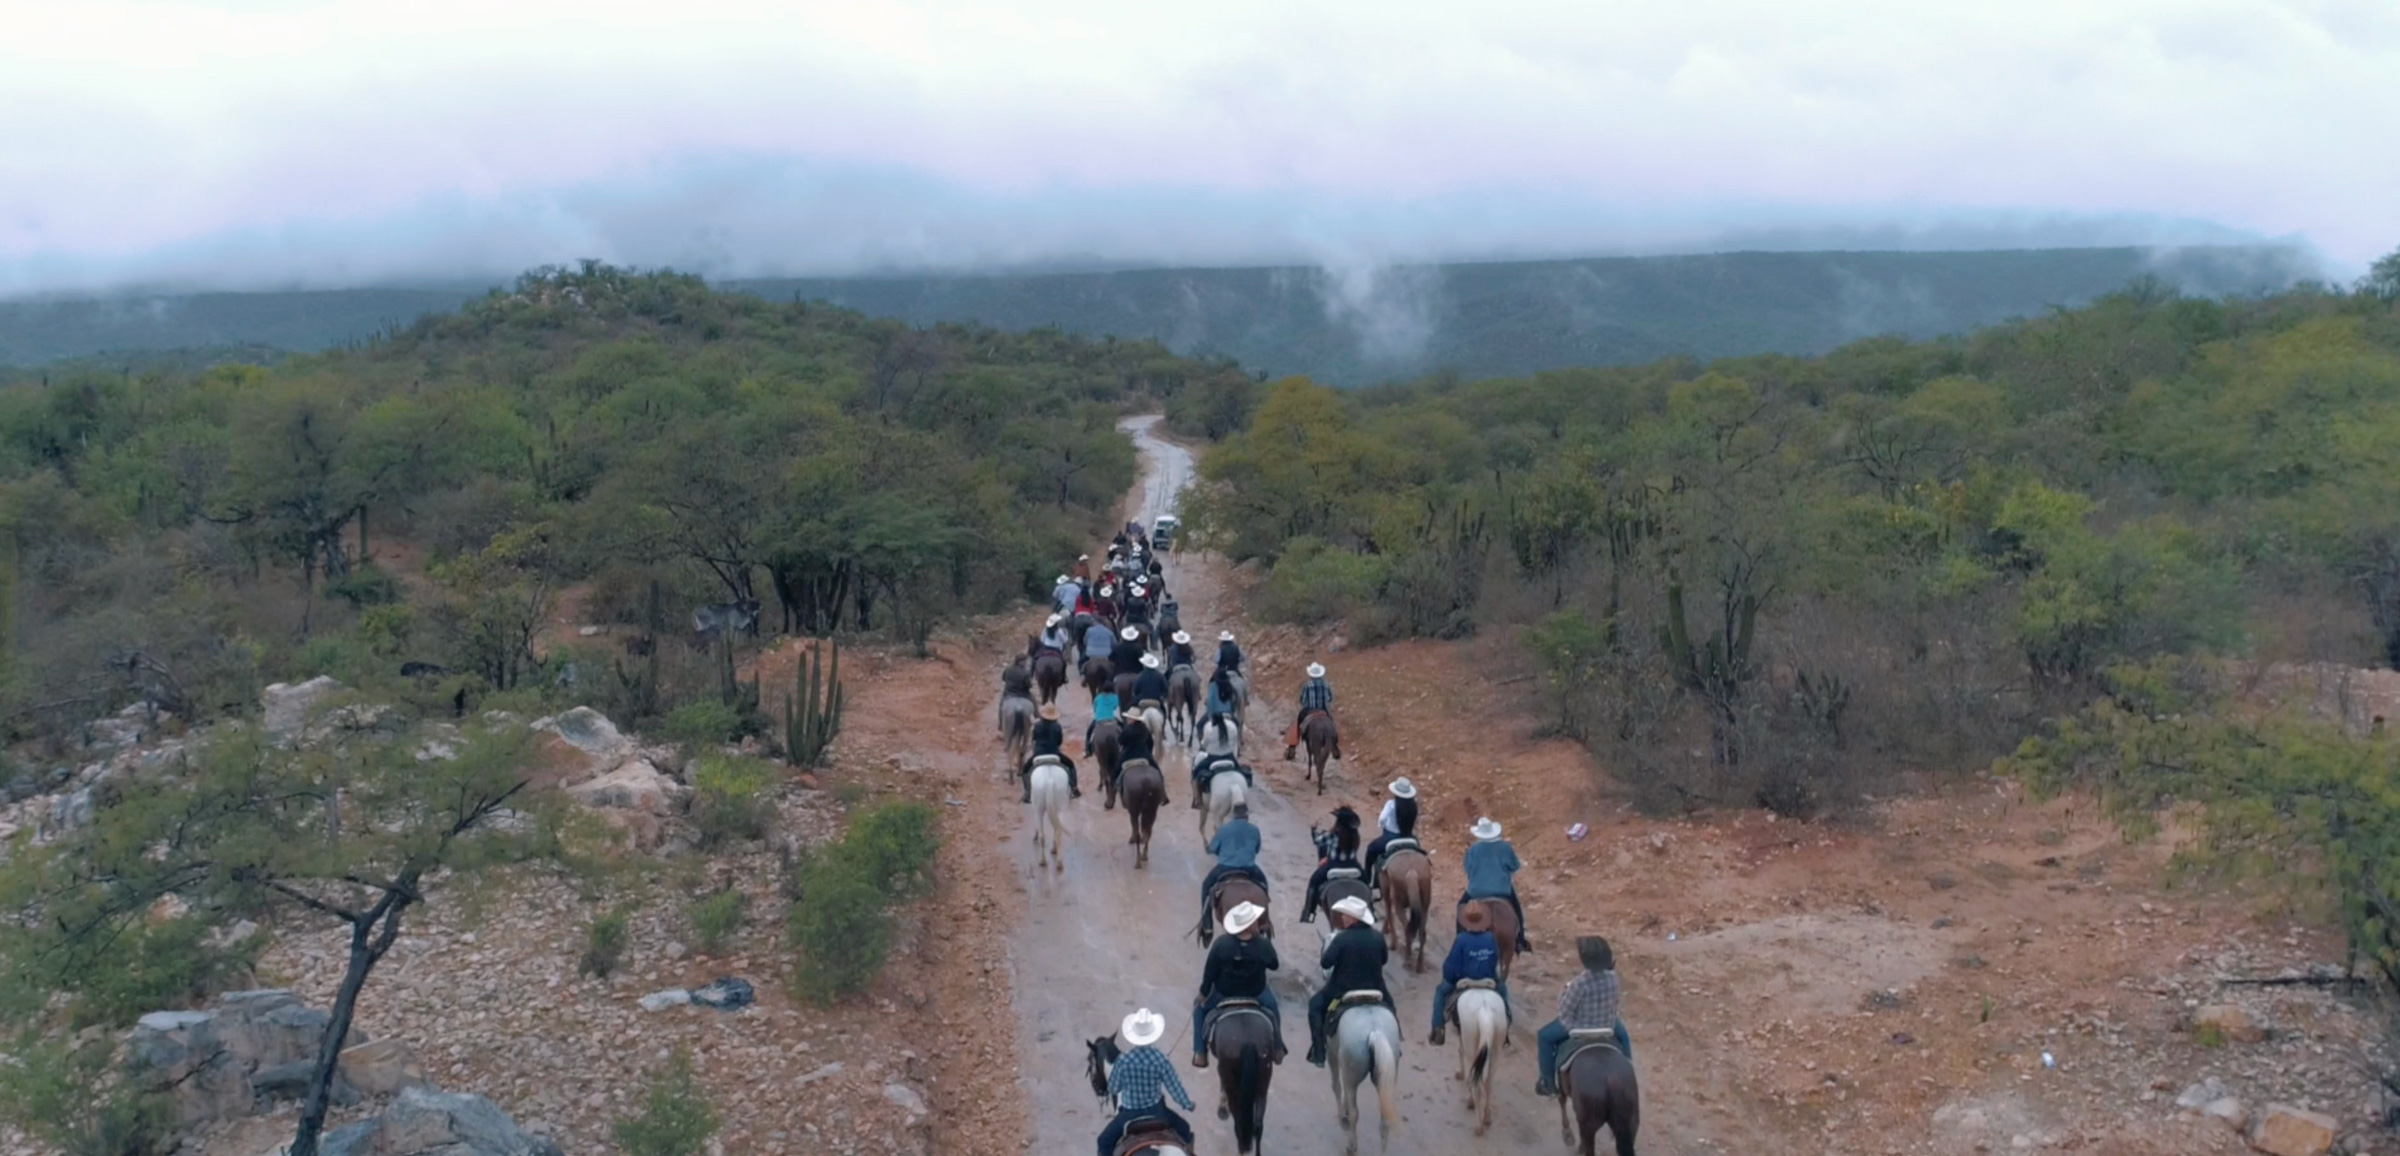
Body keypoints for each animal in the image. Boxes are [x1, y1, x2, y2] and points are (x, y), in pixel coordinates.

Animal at [1209, 997, 1286, 1151]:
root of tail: (1248, 1040)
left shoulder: (1221, 1066)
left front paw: (1222, 1108)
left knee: (1239, 1122)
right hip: (1264, 1077)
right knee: (1258, 1125)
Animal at [1334, 997, 1401, 1151]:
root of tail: (1374, 1032)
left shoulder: (1330, 1051)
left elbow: (1336, 1085)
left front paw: (1342, 1117)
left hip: (1351, 1077)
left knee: (1354, 1112)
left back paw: (1351, 1146)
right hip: (1385, 1080)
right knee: (1384, 1121)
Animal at [1449, 978, 1507, 1132]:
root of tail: (1484, 1011)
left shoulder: (1462, 1037)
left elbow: (1460, 1050)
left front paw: (1460, 1073)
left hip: (1472, 1044)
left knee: (1476, 1079)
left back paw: (1477, 1121)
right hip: (1496, 1049)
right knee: (1488, 1083)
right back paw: (1486, 1117)